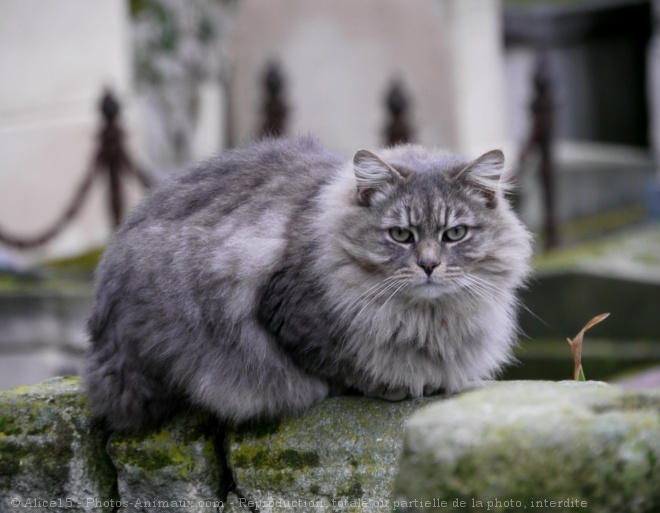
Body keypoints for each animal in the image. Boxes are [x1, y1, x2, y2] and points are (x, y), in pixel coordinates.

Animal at [85, 134, 532, 430]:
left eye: (454, 234)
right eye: (400, 235)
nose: (428, 265)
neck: (426, 319)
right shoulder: (288, 318)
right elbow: (342, 367)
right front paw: (392, 385)